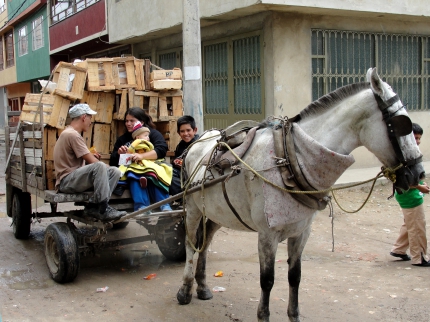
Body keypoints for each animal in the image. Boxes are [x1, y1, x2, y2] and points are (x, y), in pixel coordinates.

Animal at [175, 67, 424, 320]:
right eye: (401, 123)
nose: (418, 173)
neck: (290, 158)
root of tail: (198, 141)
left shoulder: (302, 231)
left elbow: (295, 276)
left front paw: (293, 314)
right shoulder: (267, 234)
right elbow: (267, 280)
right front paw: (263, 315)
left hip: (217, 212)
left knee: (204, 243)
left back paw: (202, 286)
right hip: (193, 208)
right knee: (190, 243)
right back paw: (185, 290)